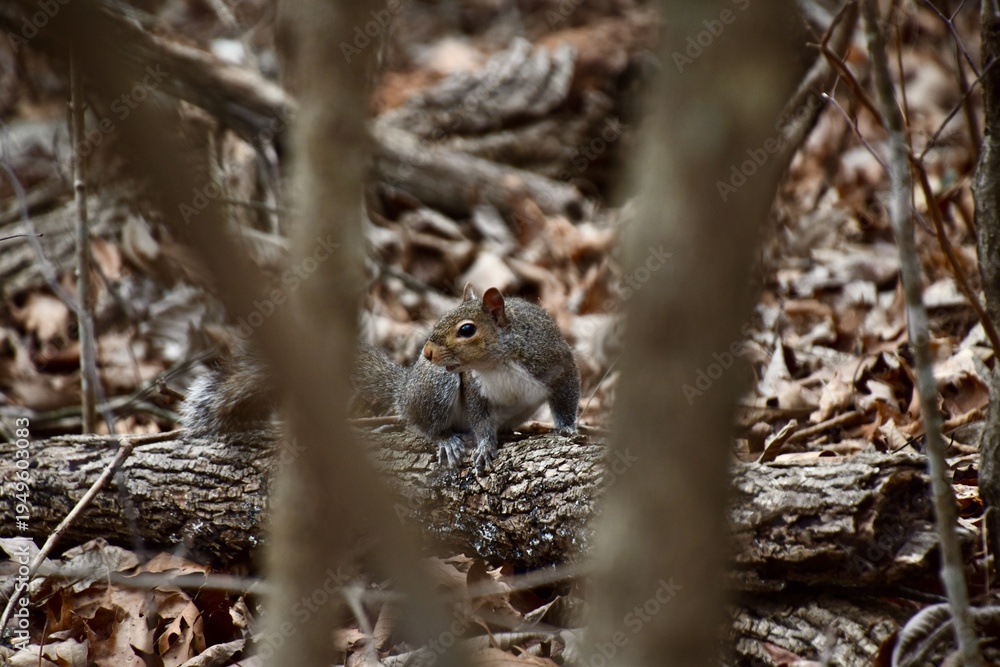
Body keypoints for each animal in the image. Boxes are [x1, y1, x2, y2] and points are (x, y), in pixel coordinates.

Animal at [181, 286, 580, 472]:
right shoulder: (473, 386)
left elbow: (567, 395)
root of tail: (404, 391)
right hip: (437, 386)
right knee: (421, 423)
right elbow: (481, 419)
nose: (427, 353)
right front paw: (483, 445)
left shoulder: (554, 362)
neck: (494, 364)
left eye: (467, 330)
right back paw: (449, 439)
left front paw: (568, 427)